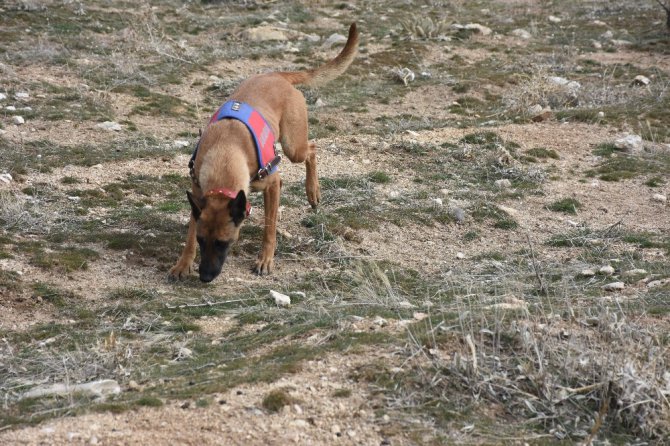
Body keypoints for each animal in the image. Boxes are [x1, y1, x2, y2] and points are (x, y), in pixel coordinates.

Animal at [171, 23, 360, 282]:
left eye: (223, 243)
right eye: (202, 241)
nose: (205, 277)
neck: (225, 152)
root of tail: (277, 75)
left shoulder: (268, 182)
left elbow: (269, 230)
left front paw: (265, 260)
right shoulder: (199, 195)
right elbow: (190, 232)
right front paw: (183, 263)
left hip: (293, 147)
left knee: (311, 150)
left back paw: (313, 192)